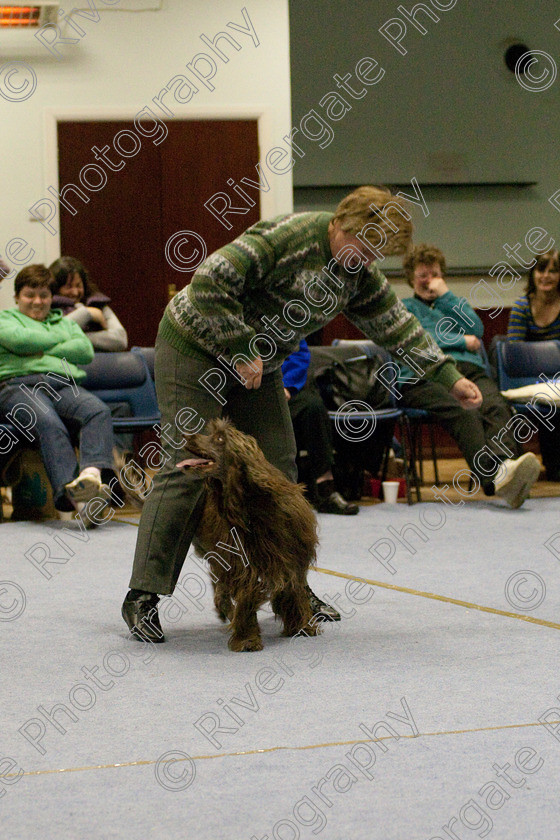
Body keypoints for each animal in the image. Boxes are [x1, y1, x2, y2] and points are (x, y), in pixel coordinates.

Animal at [177, 418, 322, 648]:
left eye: (220, 438)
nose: (185, 435)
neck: (255, 504)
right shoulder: (242, 562)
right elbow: (247, 595)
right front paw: (247, 638)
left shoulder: (292, 558)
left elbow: (293, 590)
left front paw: (301, 626)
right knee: (221, 590)